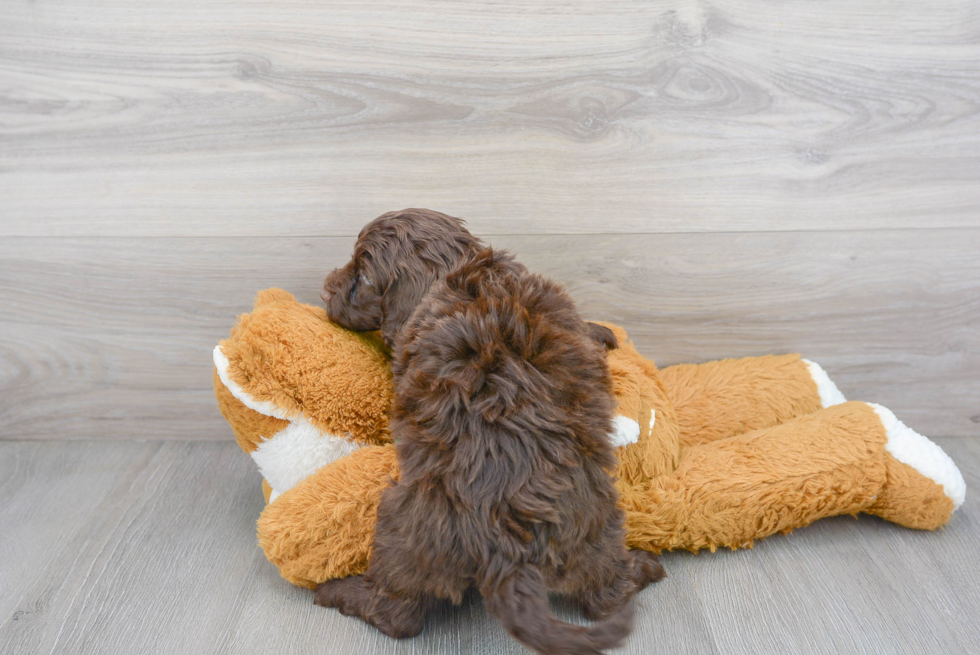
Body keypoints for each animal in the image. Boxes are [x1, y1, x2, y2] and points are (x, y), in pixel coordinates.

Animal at [318, 211, 664, 655]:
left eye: (361, 277)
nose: (326, 288)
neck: (460, 270)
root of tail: (507, 545)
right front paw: (602, 332)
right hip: (598, 524)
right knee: (606, 593)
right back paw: (643, 568)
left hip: (401, 526)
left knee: (397, 615)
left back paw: (338, 591)